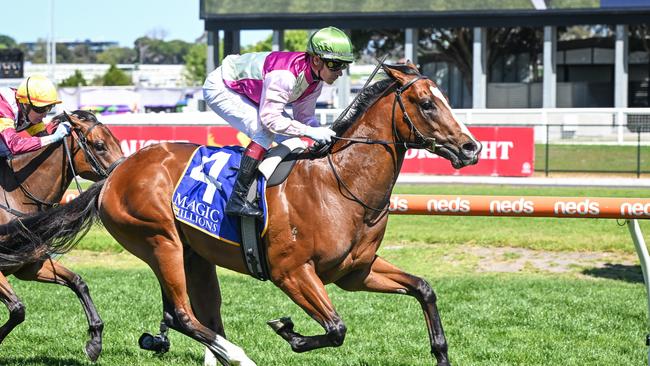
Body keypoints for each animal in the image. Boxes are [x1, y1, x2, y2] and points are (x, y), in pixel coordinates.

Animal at [0, 110, 123, 362]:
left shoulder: (32, 266)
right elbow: (17, 310)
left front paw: (95, 343)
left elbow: (78, 282)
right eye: (99, 145)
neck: (16, 196)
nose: (123, 175)